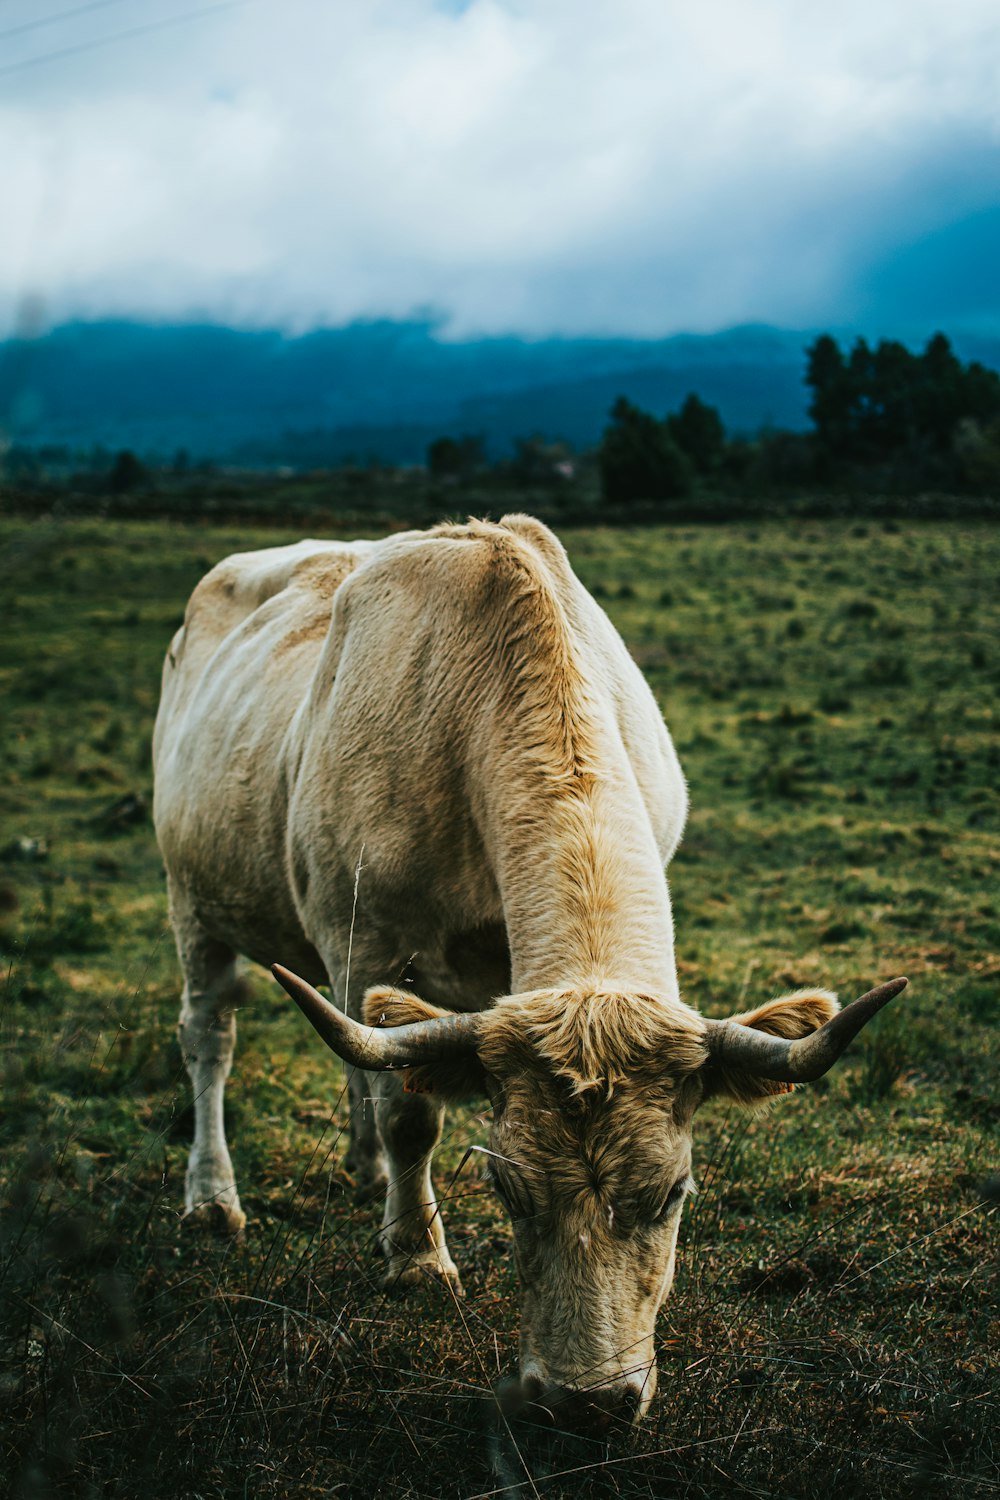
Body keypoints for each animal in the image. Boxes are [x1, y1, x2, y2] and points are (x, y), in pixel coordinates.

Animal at [154, 516, 905, 1428]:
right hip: (195, 902)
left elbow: (389, 1075)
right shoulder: (363, 941)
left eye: (674, 1192)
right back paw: (213, 1200)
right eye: (507, 1191)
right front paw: (417, 1258)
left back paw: (363, 1168)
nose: (587, 1402)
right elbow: (413, 1116)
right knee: (211, 1038)